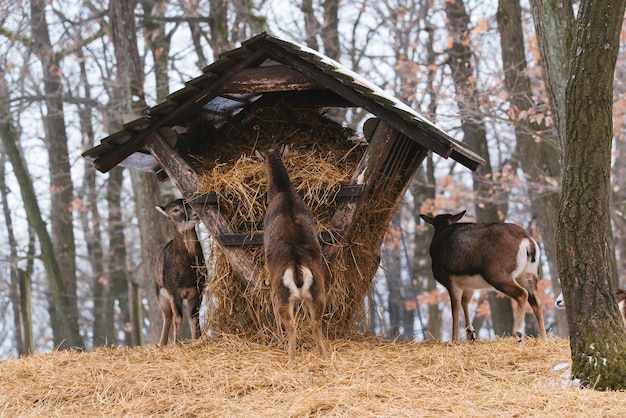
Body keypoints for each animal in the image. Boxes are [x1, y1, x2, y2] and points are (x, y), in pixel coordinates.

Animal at [154, 199, 205, 346]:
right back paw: (161, 344)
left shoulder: (198, 289)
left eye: (190, 203)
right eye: (175, 210)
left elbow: (194, 316)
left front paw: (197, 340)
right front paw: (177, 343)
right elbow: (178, 317)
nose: (195, 214)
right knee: (167, 316)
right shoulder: (173, 290)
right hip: (160, 294)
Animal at [256, 146, 330, 362]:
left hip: (280, 296)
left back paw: (290, 358)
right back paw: (324, 357)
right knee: (315, 323)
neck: (283, 192)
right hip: (318, 293)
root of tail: (297, 267)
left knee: (291, 324)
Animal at [420, 211, 544, 342]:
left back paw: (518, 333)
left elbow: (455, 307)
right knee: (536, 301)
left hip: (498, 276)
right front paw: (471, 334)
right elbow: (465, 301)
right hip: (529, 276)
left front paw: (454, 340)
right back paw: (543, 338)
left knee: (522, 294)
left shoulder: (450, 280)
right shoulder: (468, 286)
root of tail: (528, 242)